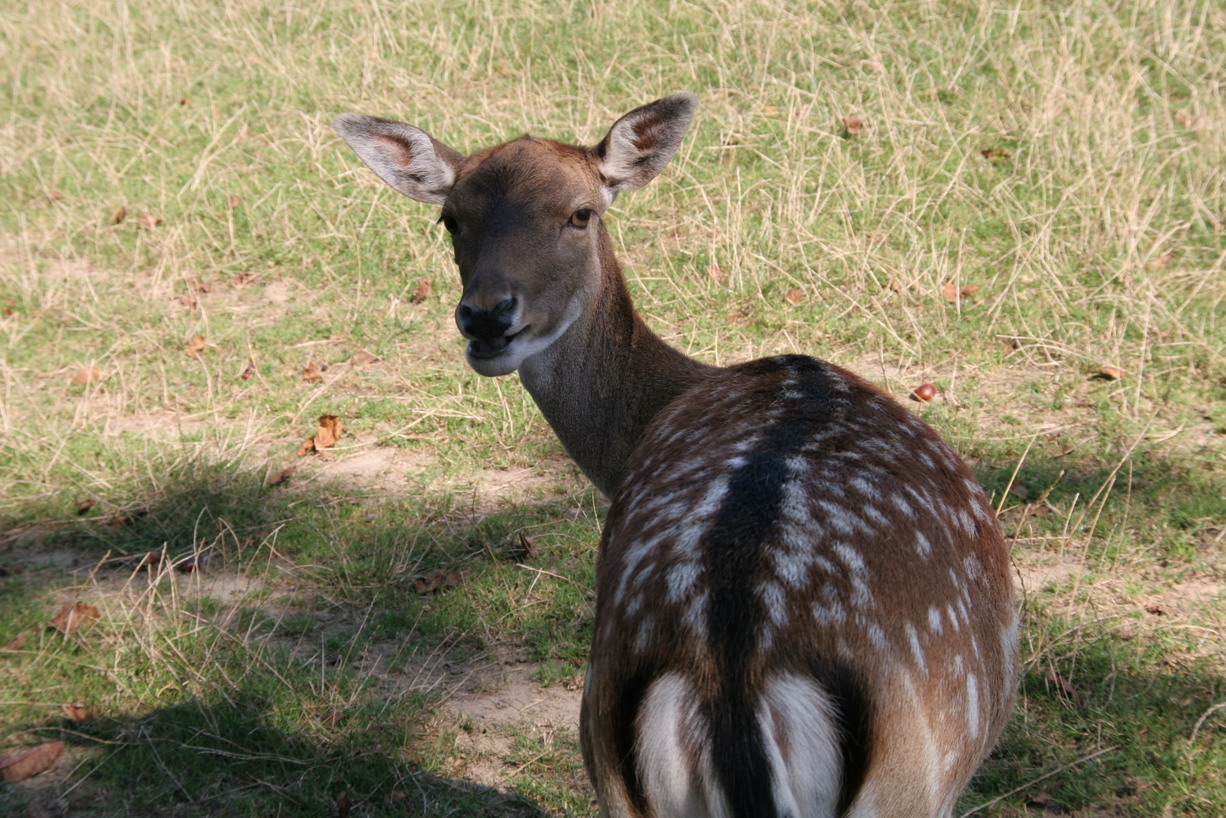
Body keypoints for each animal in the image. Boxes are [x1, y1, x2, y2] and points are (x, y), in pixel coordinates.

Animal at [333, 92, 1015, 814]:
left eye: (581, 213)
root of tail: (730, 679)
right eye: (451, 218)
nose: (487, 317)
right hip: (918, 778)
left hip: (614, 769)